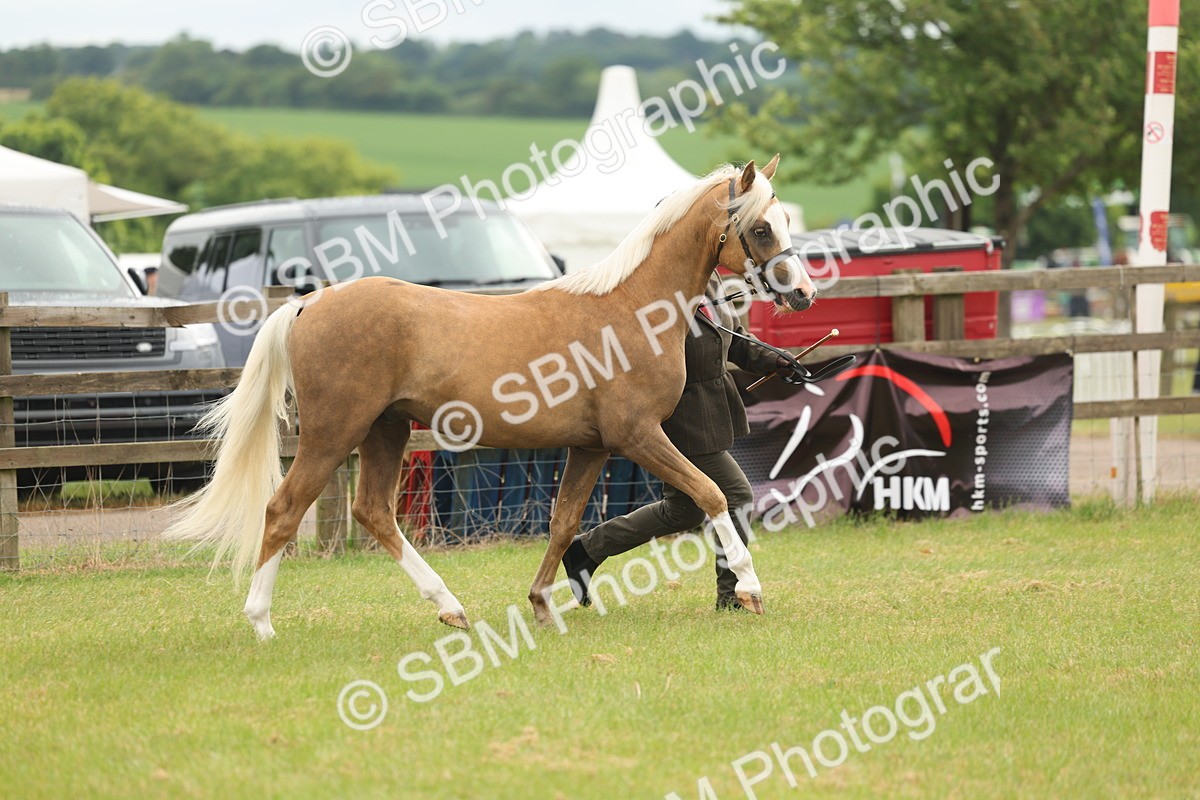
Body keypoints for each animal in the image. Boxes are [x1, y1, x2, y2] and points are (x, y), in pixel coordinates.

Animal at [165, 156, 817, 639]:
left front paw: (543, 604)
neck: (629, 308)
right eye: (762, 227)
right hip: (333, 433)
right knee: (283, 509)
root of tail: (308, 303)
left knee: (373, 512)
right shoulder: (638, 436)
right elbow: (710, 494)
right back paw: (262, 623)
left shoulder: (592, 447)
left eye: (785, 220)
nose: (805, 295)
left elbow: (564, 522)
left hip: (385, 431)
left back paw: (449, 607)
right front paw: (751, 589)